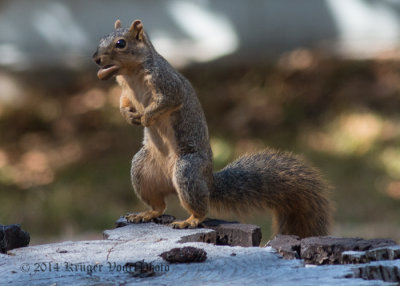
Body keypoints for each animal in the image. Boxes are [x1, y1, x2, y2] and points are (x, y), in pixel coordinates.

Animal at [93, 19, 332, 237]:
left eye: (121, 43)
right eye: (101, 38)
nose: (96, 59)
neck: (130, 73)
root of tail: (208, 182)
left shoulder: (167, 83)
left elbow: (168, 100)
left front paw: (145, 117)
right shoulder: (125, 90)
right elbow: (123, 102)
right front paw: (129, 116)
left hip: (187, 171)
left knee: (201, 209)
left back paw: (190, 220)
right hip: (143, 171)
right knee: (159, 206)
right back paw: (146, 214)